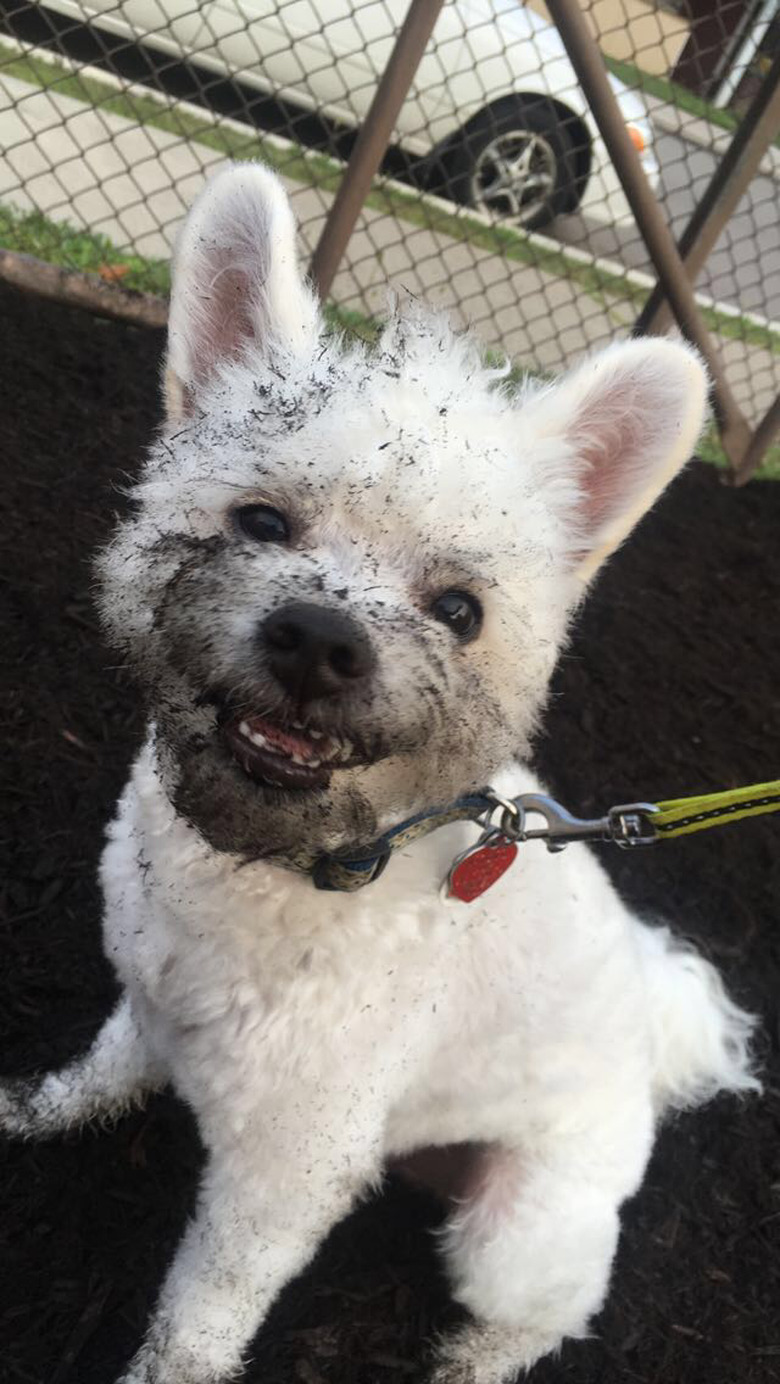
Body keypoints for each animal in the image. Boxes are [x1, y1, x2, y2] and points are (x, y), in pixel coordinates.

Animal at [0, 164, 757, 1384]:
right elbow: (106, 1066)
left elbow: (195, 1324)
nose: (319, 639)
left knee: (548, 1314)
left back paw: (472, 1362)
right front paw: (42, 1108)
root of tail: (657, 1038)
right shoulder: (151, 998)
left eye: (461, 610)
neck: (295, 863)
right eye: (260, 519)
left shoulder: (284, 1176)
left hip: (516, 1235)